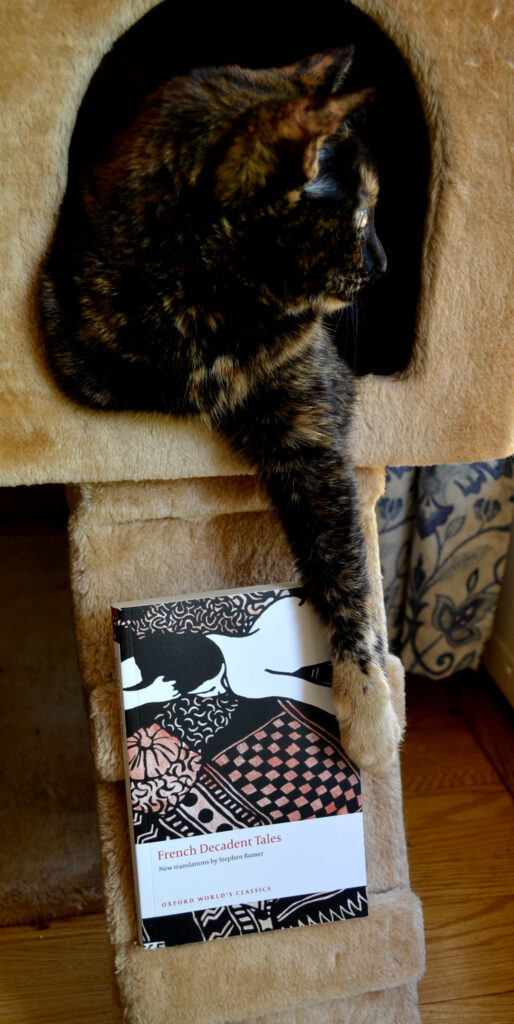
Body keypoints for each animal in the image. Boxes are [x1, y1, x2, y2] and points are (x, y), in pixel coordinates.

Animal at [39, 46, 401, 770]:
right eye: (358, 217)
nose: (382, 263)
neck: (217, 322)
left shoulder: (309, 423)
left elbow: (347, 570)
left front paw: (369, 715)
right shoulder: (77, 349)